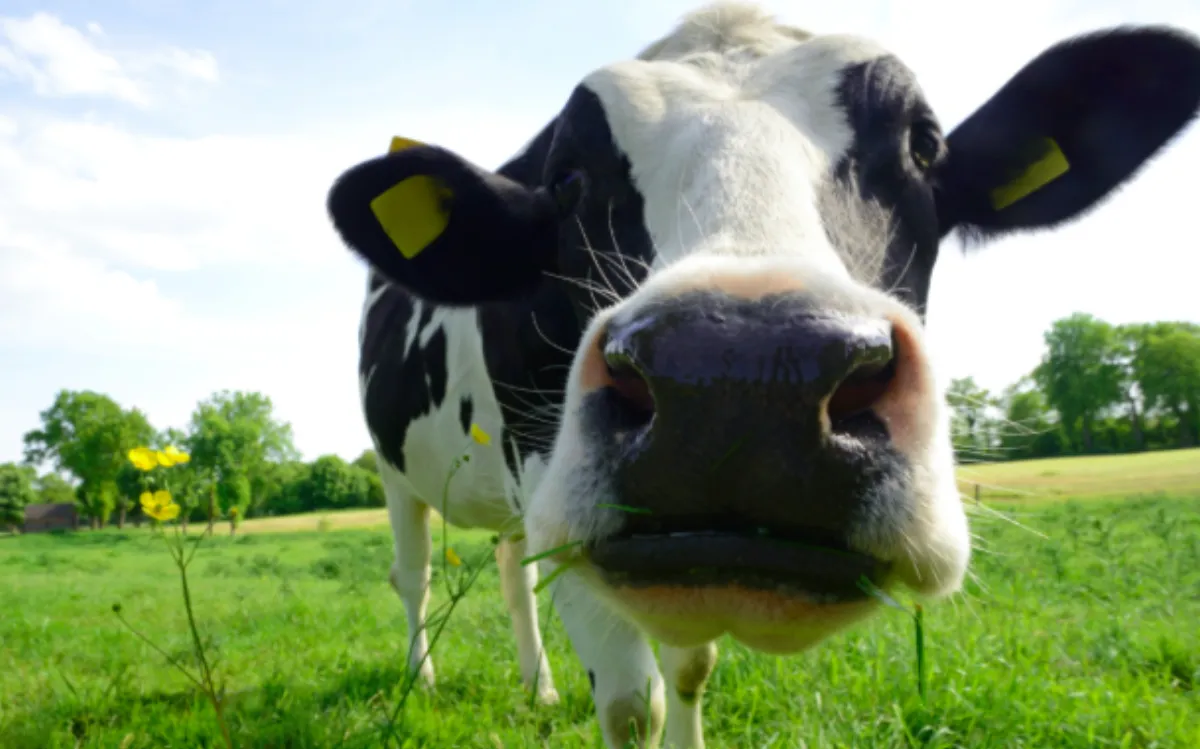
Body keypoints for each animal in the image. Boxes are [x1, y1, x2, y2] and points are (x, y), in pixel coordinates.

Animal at [329, 3, 1200, 747]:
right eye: (567, 177)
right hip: (396, 472)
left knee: (511, 571)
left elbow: (689, 668)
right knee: (414, 575)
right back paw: (423, 679)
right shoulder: (559, 495)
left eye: (922, 145)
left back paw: (538, 688)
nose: (742, 376)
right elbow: (630, 704)